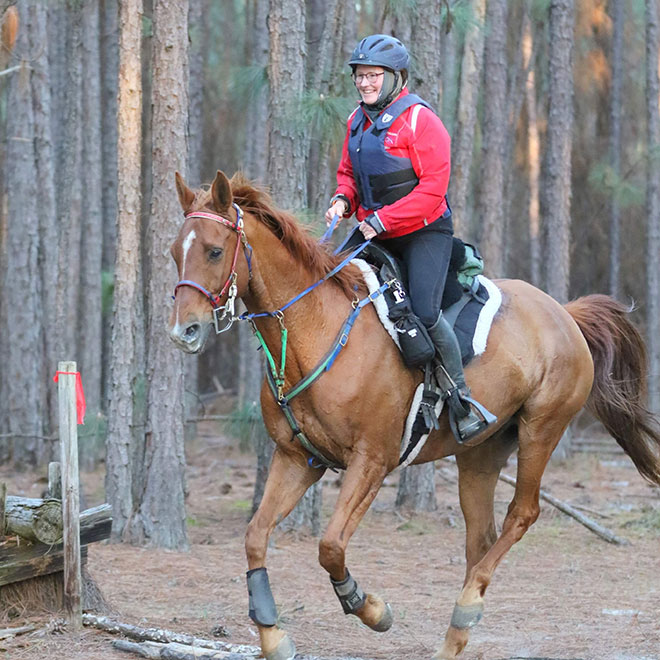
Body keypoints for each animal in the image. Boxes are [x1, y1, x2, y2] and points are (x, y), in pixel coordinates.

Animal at [166, 171, 660, 660]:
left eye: (214, 251)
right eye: (174, 252)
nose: (182, 331)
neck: (315, 329)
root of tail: (567, 313)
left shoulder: (371, 461)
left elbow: (330, 547)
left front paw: (371, 608)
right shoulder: (298, 459)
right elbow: (255, 536)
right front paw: (273, 635)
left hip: (542, 428)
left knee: (522, 514)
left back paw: (466, 606)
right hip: (480, 453)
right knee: (480, 537)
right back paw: (457, 634)